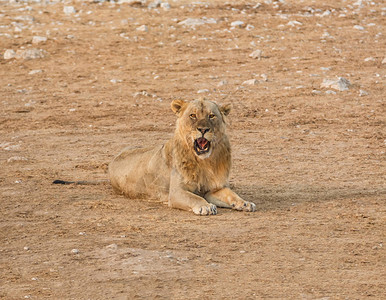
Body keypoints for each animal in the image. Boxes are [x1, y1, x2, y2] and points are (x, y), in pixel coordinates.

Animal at [108, 99, 256, 216]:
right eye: (193, 115)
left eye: (211, 116)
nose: (203, 129)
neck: (204, 162)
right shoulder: (176, 192)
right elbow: (194, 198)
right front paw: (206, 206)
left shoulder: (215, 189)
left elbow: (231, 194)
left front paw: (245, 203)